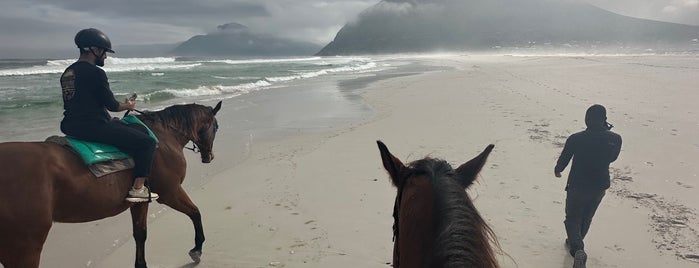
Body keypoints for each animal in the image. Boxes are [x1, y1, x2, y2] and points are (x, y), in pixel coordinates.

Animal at [0, 101, 221, 268]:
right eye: (216, 127)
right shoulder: (170, 193)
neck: (164, 135)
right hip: (26, 246)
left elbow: (140, 234)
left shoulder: (139, 202)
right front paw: (197, 248)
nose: (209, 156)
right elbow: (195, 212)